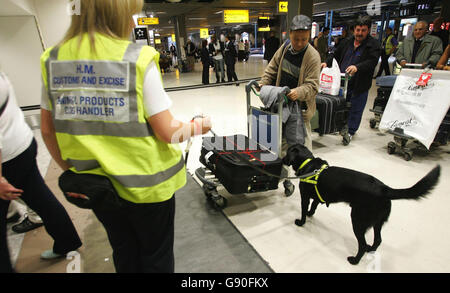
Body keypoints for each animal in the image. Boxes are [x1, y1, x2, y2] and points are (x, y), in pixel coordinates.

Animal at [284, 144, 442, 264]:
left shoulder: (305, 196)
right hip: (377, 222)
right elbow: (314, 206)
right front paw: (310, 214)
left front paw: (301, 221)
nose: (282, 159)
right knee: (378, 240)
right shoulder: (317, 197)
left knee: (363, 244)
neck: (309, 164)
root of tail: (384, 189)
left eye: (287, 152)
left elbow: (304, 210)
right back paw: (371, 250)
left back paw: (355, 260)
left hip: (358, 220)